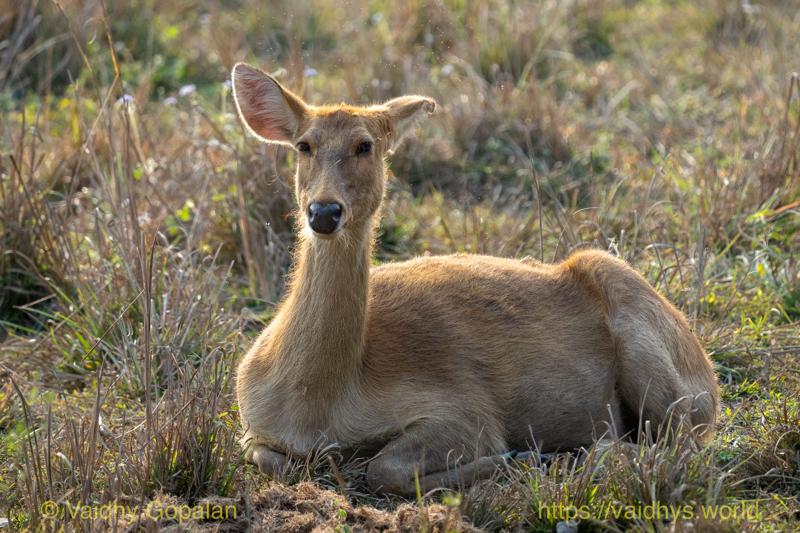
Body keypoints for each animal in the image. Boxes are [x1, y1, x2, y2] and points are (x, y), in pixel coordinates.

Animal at [231, 62, 720, 496]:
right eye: (304, 145)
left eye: (365, 145)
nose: (325, 212)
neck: (318, 400)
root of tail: (708, 372)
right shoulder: (253, 426)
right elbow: (273, 460)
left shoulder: (462, 408)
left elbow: (385, 468)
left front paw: (517, 458)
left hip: (654, 355)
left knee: (675, 444)